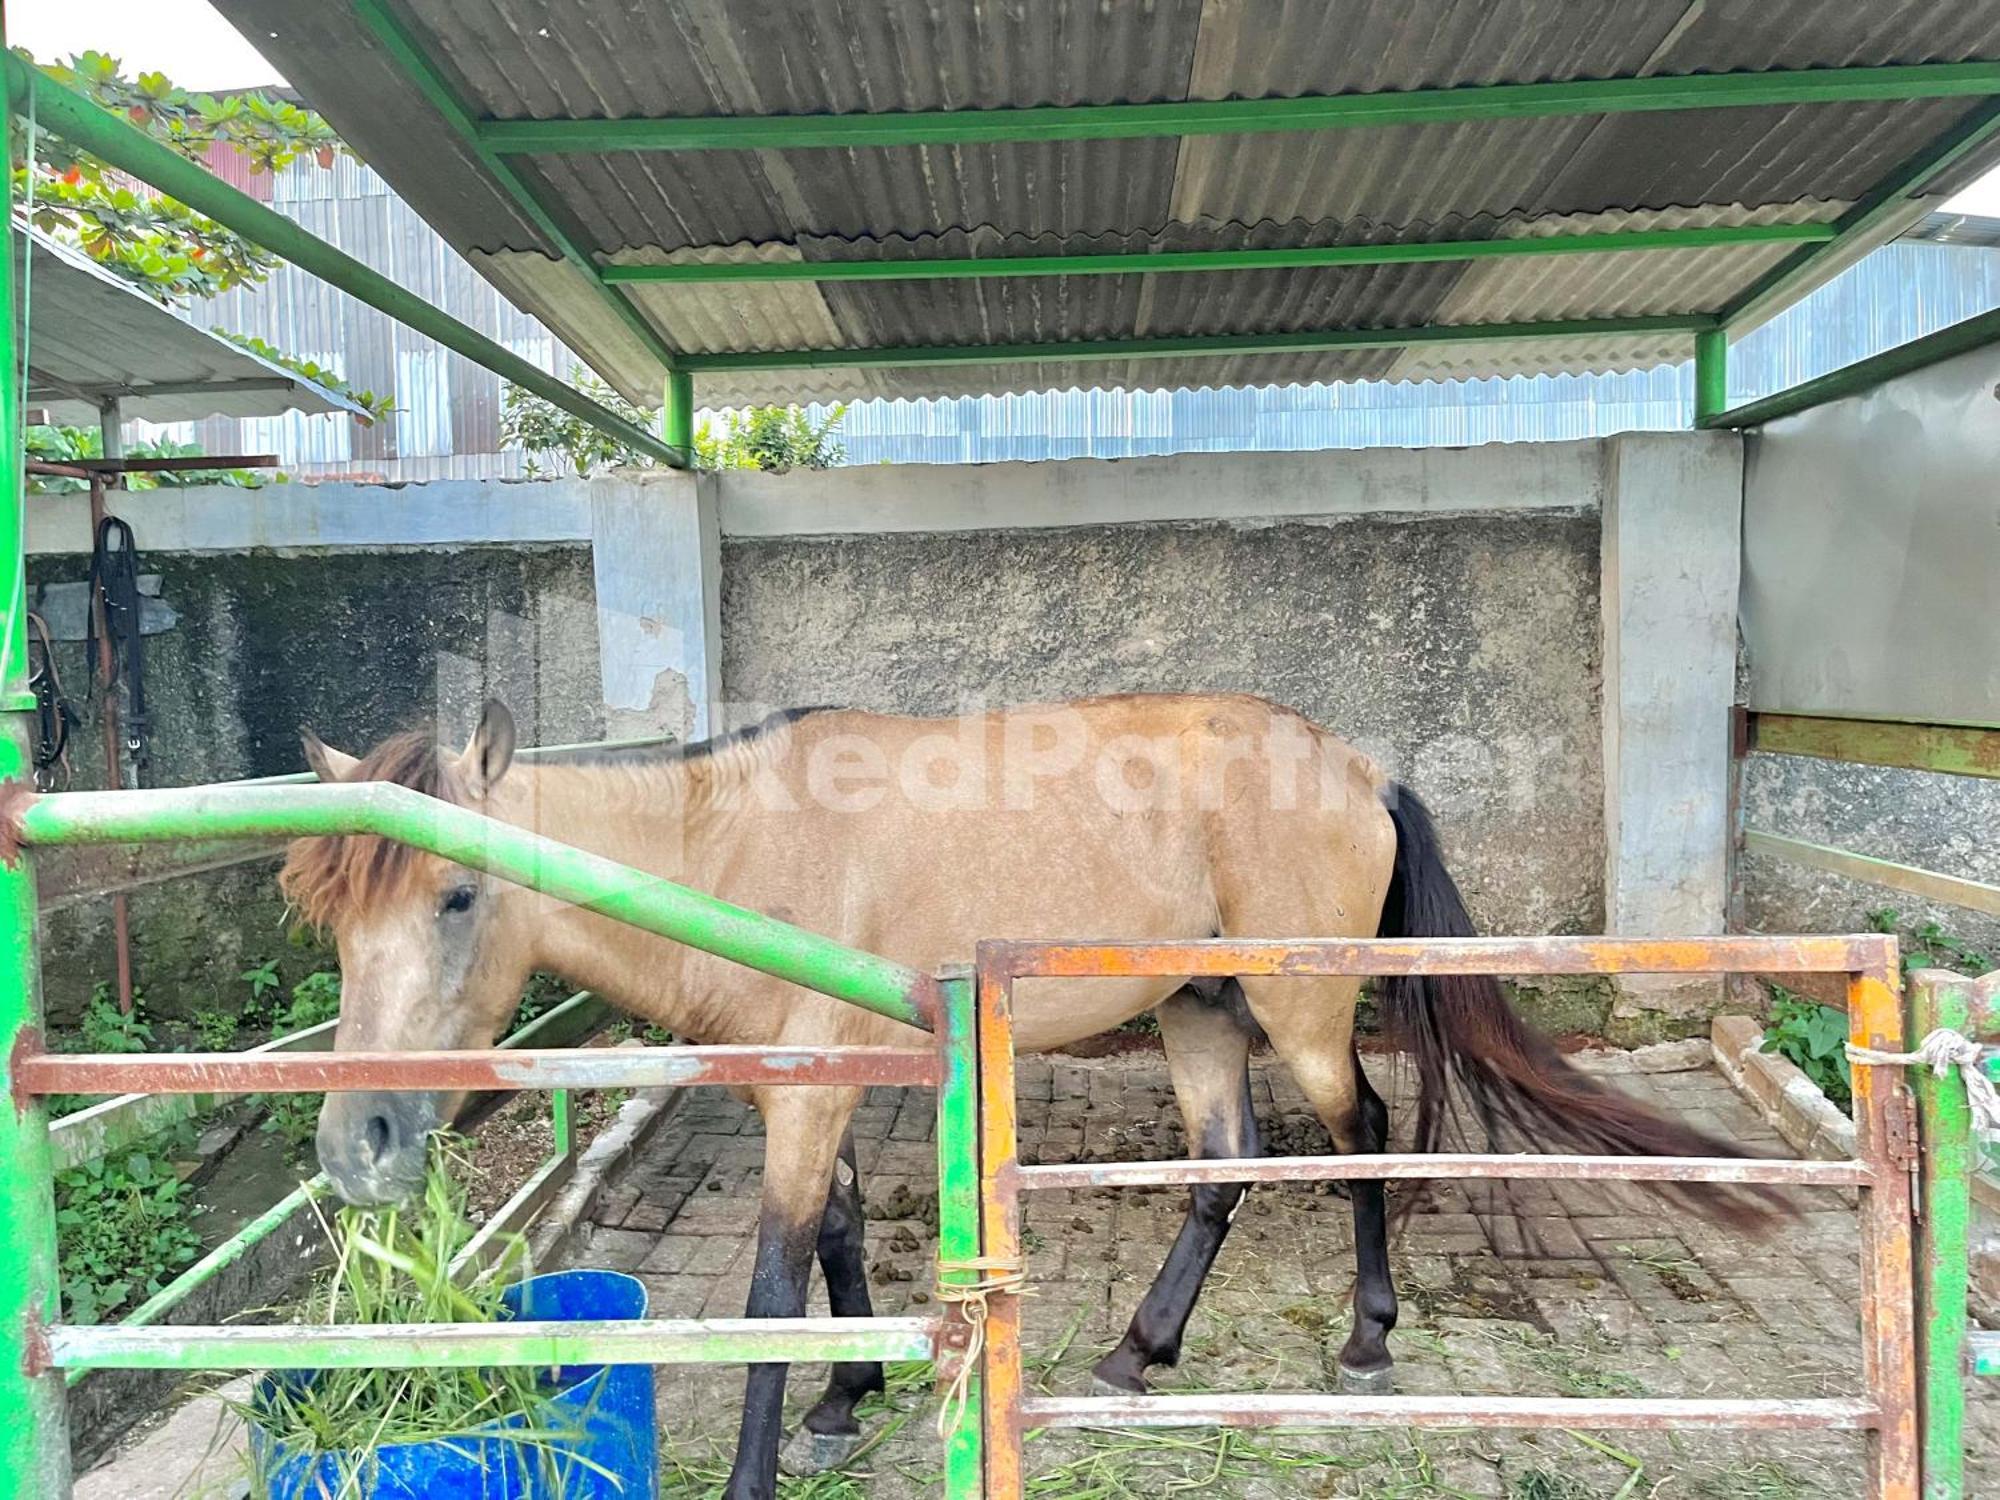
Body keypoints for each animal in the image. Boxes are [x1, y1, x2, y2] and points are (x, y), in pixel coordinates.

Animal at [286, 696, 1784, 1500]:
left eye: (458, 894)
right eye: (332, 921)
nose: (358, 1146)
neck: (742, 854)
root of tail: (1359, 768)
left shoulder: (803, 1099)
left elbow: (770, 1283)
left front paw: (772, 1454)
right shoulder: (827, 1091)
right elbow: (839, 1238)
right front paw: (845, 1402)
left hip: (1297, 1015)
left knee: (1353, 1140)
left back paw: (1365, 1338)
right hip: (1197, 1013)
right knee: (1224, 1164)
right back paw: (1136, 1352)